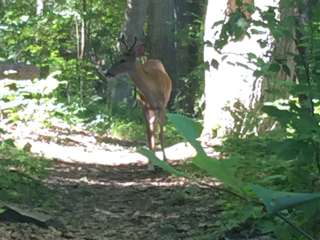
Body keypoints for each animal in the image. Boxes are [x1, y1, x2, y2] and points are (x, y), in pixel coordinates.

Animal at [104, 36, 172, 170]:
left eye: (122, 60)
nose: (107, 72)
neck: (152, 91)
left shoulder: (161, 106)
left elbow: (160, 133)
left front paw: (164, 161)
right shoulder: (144, 107)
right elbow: (149, 134)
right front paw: (150, 164)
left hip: (164, 105)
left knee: (159, 128)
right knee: (152, 129)